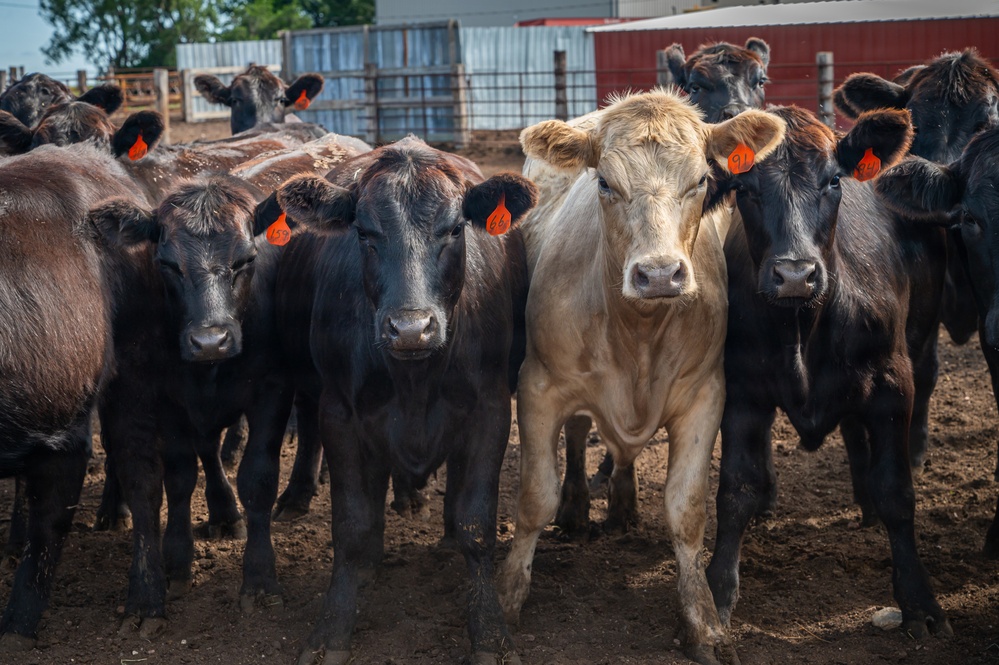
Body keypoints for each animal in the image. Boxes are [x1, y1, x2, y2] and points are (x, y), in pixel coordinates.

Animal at [266, 136, 535, 665]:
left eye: (454, 229)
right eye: (364, 233)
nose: (410, 328)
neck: (415, 380)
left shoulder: (491, 410)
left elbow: (477, 523)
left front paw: (490, 632)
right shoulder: (340, 413)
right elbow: (351, 526)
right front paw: (332, 629)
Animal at [495, 90, 787, 665]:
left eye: (701, 180)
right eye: (605, 182)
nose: (657, 274)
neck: (637, 332)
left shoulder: (704, 396)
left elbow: (687, 509)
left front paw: (703, 623)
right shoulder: (538, 388)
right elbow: (534, 497)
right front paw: (508, 600)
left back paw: (624, 504)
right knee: (580, 434)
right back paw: (578, 509)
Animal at [702, 106, 951, 642]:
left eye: (834, 180)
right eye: (745, 186)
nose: (795, 274)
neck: (803, 327)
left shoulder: (892, 385)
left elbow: (897, 491)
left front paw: (919, 600)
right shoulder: (742, 394)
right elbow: (736, 490)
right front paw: (716, 593)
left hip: (920, 344)